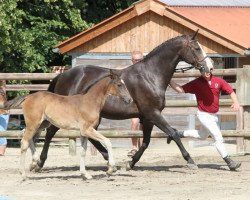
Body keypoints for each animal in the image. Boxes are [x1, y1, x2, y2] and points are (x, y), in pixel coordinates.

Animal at [0, 70, 133, 180]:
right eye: (119, 84)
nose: (130, 100)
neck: (90, 102)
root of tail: (28, 96)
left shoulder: (83, 132)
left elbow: (83, 152)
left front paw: (85, 174)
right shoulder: (87, 129)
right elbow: (107, 141)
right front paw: (111, 169)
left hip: (42, 124)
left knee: (28, 137)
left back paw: (34, 162)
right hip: (34, 123)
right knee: (24, 142)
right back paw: (23, 174)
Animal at [34, 30, 214, 170]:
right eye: (197, 48)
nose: (209, 68)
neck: (150, 75)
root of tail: (63, 75)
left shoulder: (147, 118)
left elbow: (146, 142)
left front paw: (130, 163)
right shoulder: (153, 113)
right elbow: (174, 133)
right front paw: (191, 161)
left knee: (88, 135)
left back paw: (108, 159)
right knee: (50, 133)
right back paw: (39, 163)